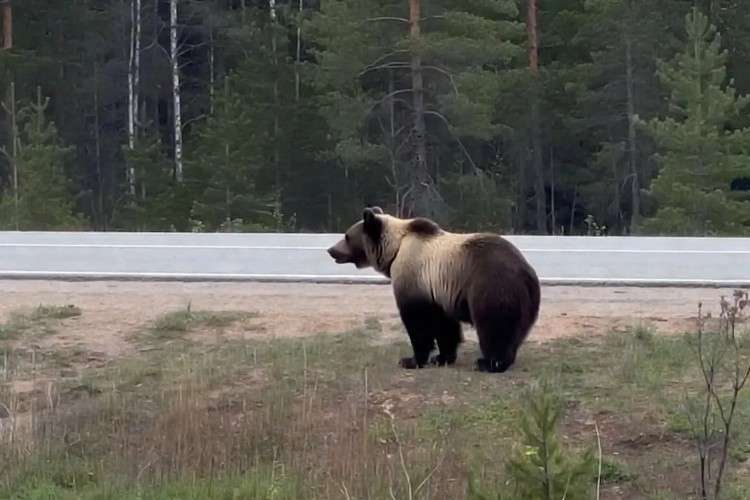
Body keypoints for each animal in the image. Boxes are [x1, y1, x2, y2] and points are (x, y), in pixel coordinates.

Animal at [327, 207, 541, 373]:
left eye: (346, 236)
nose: (331, 250)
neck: (395, 249)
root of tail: (526, 271)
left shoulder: (414, 275)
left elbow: (418, 321)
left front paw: (411, 359)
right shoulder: (438, 290)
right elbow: (444, 324)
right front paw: (442, 357)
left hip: (492, 285)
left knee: (494, 324)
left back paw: (489, 362)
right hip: (526, 300)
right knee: (515, 329)